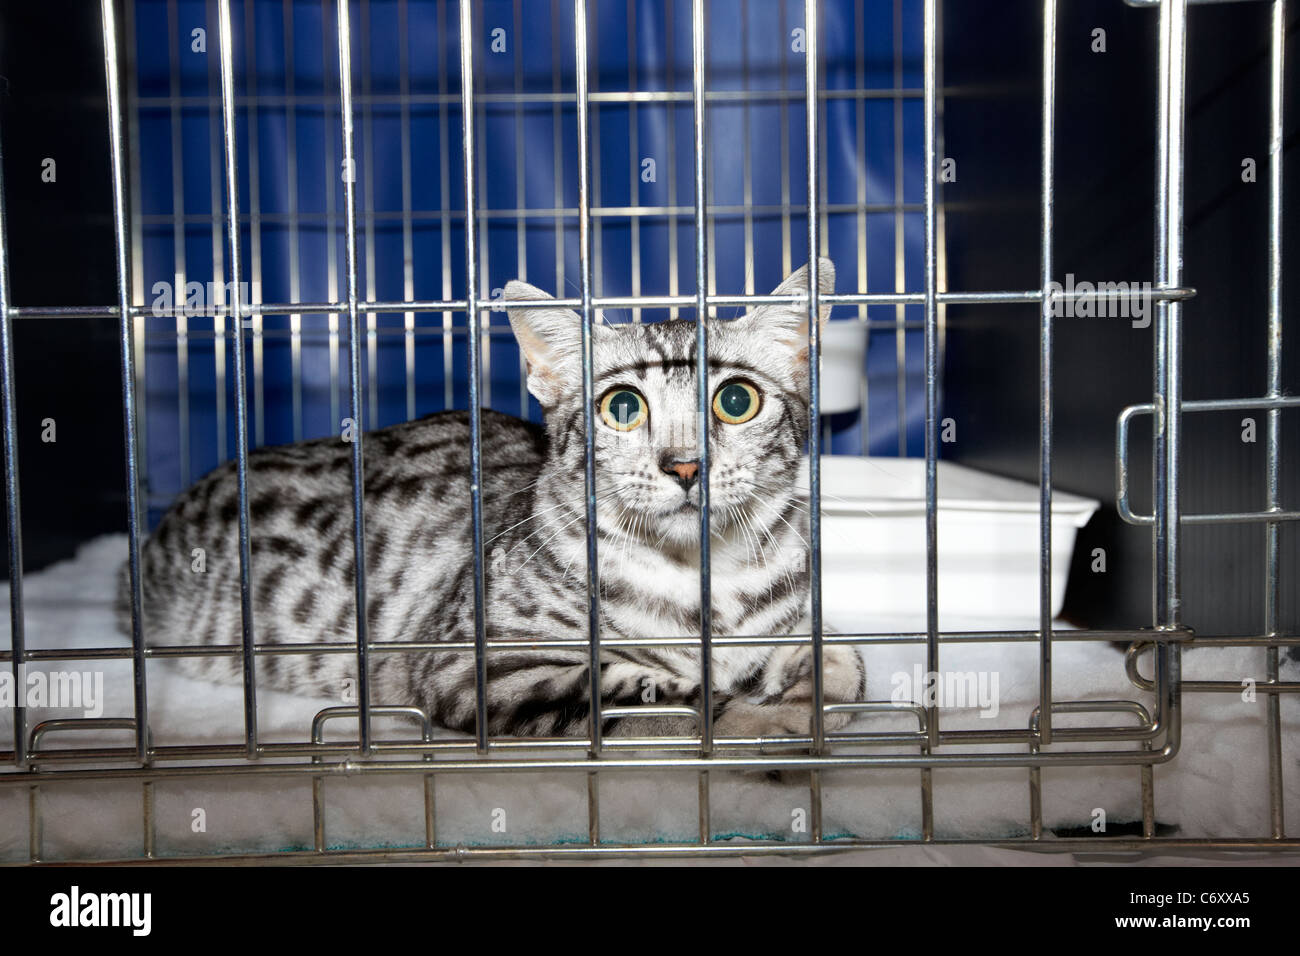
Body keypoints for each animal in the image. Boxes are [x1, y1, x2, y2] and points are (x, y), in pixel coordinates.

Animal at [122, 260, 868, 738]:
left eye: (736, 401)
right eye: (623, 407)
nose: (686, 465)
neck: (709, 587)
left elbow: (843, 661)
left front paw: (811, 689)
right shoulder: (476, 663)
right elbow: (661, 693)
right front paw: (768, 716)